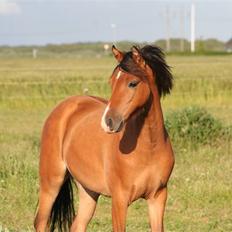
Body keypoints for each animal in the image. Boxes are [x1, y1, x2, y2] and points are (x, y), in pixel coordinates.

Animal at [34, 44, 174, 231]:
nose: (108, 122)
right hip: (51, 183)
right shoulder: (119, 199)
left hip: (88, 191)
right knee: (41, 222)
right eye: (112, 82)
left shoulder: (158, 197)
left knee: (77, 225)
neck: (149, 147)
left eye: (133, 83)